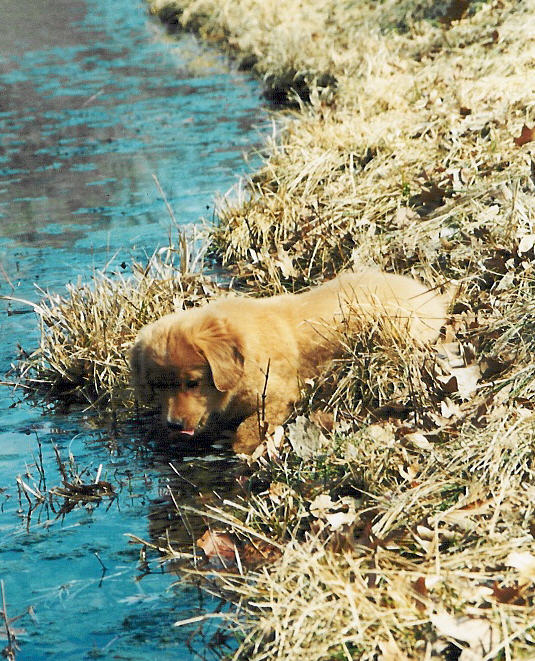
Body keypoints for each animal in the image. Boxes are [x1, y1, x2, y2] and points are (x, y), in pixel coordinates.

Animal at [130, 266, 448, 448]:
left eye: (193, 383)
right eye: (158, 387)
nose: (173, 424)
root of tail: (434, 298)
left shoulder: (278, 396)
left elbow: (247, 429)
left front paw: (244, 450)